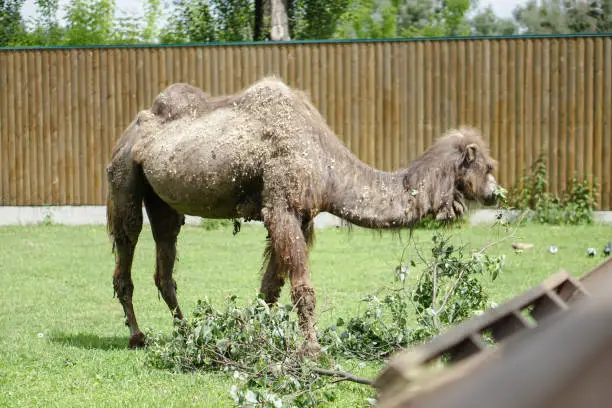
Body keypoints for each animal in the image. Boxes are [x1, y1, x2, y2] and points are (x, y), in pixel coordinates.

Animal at [106, 75, 502, 354]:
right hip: (123, 176)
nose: (495, 194)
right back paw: (138, 336)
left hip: (163, 199)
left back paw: (186, 332)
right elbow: (301, 288)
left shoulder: (301, 215)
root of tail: (133, 129)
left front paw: (251, 337)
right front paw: (312, 350)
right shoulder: (282, 207)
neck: (327, 163)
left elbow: (270, 288)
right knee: (127, 240)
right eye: (486, 166)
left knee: (165, 254)